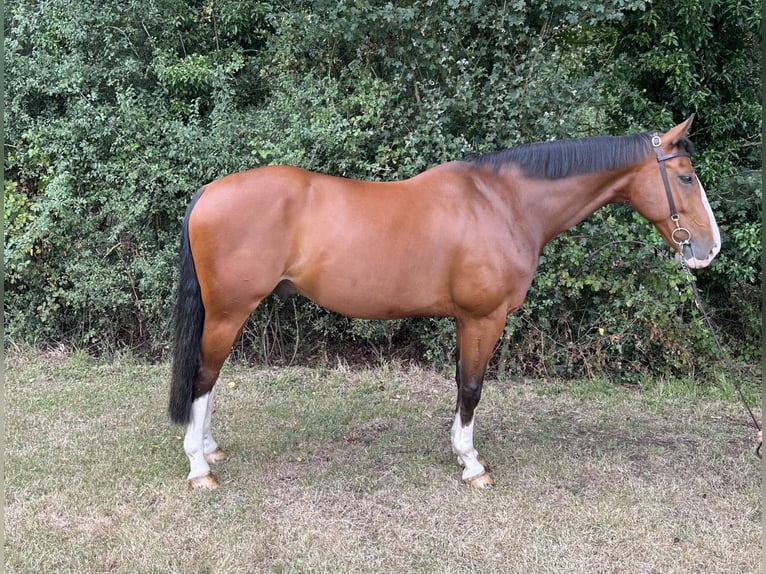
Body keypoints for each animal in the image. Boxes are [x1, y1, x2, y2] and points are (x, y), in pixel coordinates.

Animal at [168, 116, 720, 490]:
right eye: (686, 177)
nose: (710, 248)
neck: (503, 202)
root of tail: (208, 192)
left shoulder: (464, 319)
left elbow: (460, 384)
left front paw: (460, 452)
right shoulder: (484, 317)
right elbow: (473, 387)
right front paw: (472, 464)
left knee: (209, 380)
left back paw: (211, 450)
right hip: (228, 312)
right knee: (203, 377)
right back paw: (198, 466)